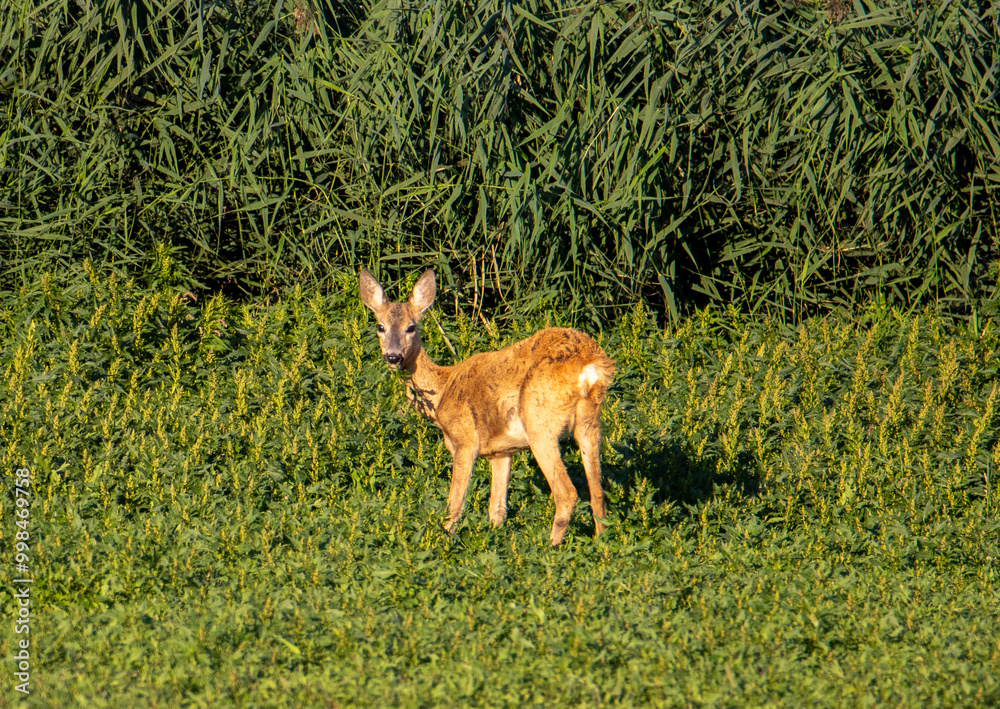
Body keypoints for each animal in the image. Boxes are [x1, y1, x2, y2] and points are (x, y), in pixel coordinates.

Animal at [359, 268, 615, 546]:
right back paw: (602, 544)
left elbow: (455, 504)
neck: (442, 392)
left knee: (567, 493)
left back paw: (550, 547)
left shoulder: (465, 439)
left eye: (411, 327)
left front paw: (446, 539)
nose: (393, 356)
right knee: (598, 493)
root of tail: (591, 367)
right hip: (590, 423)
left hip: (540, 423)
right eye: (380, 326)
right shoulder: (501, 451)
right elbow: (497, 509)